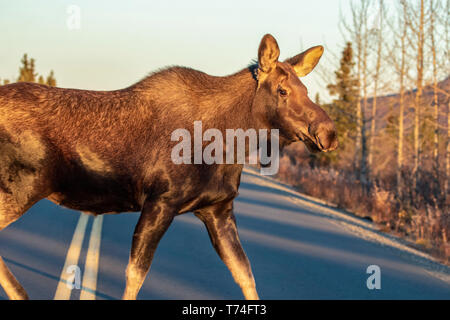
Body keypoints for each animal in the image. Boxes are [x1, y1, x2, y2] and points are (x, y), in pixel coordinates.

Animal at [0, 35, 338, 300]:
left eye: (307, 91)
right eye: (283, 91)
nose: (328, 133)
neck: (231, 145)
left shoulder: (218, 210)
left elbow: (246, 275)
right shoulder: (161, 202)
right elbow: (136, 275)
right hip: (19, 190)